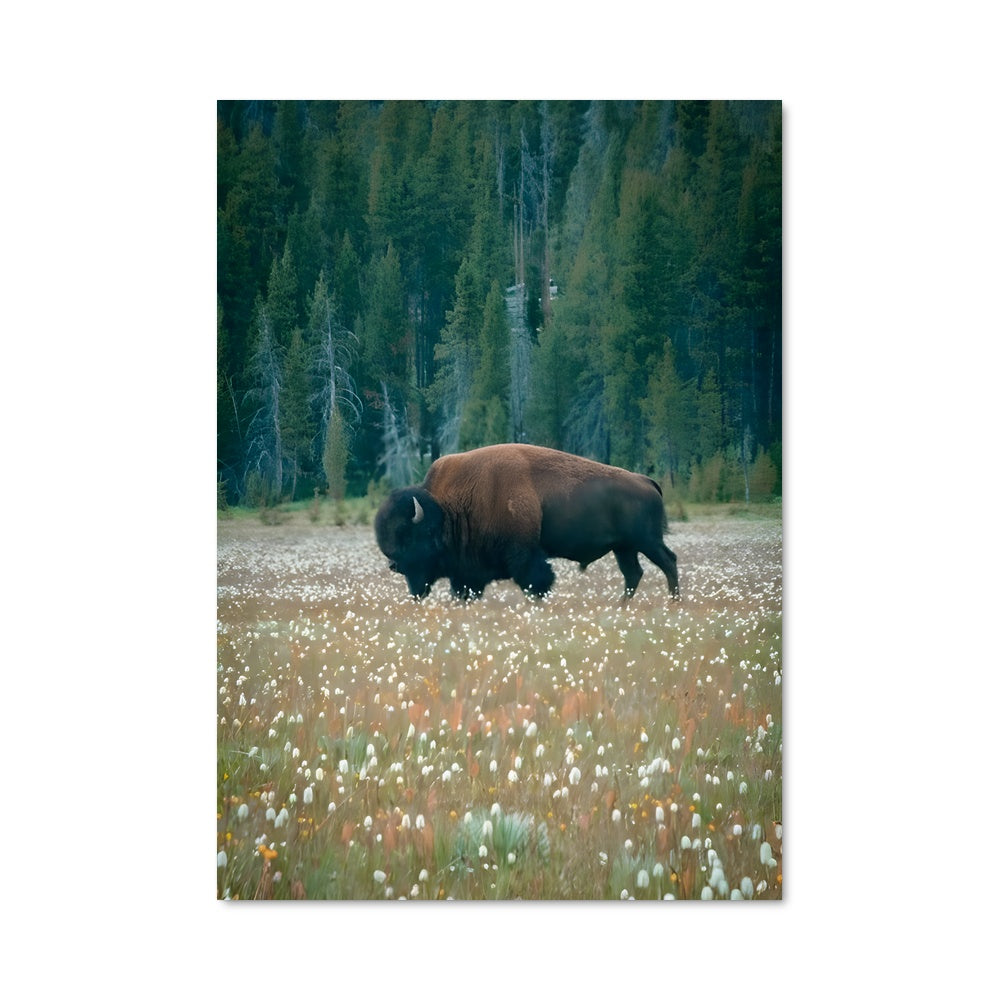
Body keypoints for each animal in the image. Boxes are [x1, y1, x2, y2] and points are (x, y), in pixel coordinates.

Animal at [374, 443, 679, 603]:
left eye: (412, 535)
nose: (394, 565)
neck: (449, 510)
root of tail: (646, 481)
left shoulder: (524, 554)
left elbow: (536, 582)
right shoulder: (467, 572)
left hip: (646, 541)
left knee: (668, 562)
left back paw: (673, 602)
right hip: (624, 547)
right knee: (633, 574)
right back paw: (621, 607)